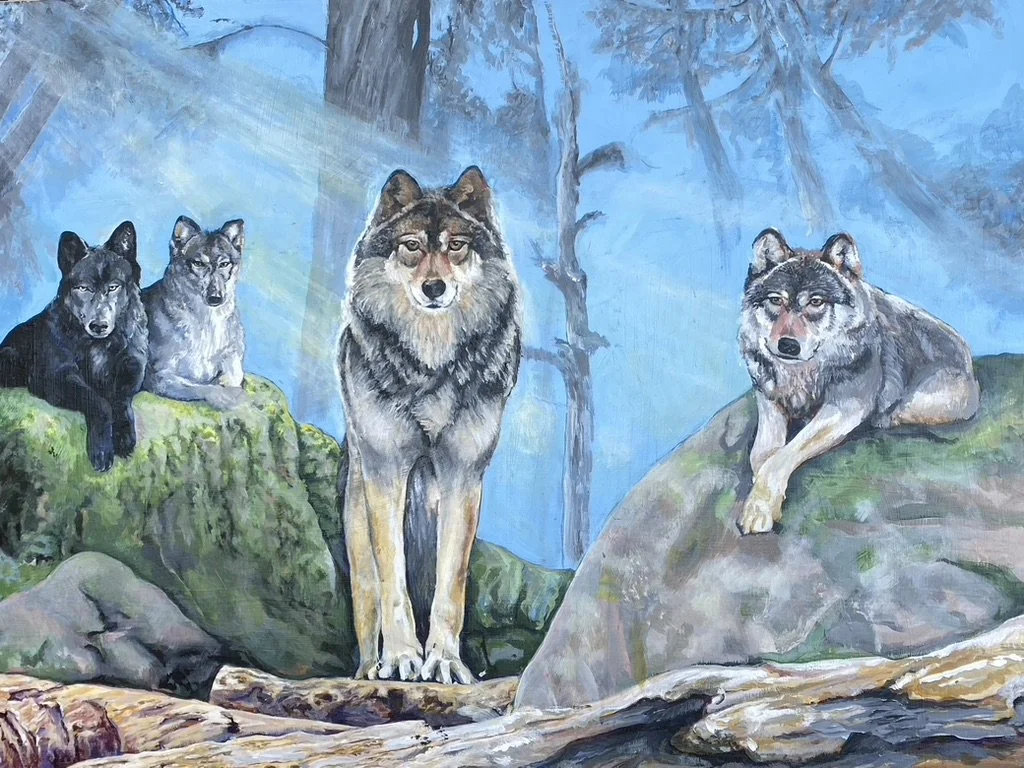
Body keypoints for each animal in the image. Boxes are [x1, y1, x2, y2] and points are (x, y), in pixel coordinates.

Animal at [0, 222, 147, 472]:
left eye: (113, 287)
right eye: (84, 288)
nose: (98, 325)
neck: (98, 345)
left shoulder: (133, 366)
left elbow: (119, 399)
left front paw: (124, 436)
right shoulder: (54, 375)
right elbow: (99, 402)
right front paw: (102, 450)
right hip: (10, 362)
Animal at [143, 216, 246, 410]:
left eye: (224, 264)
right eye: (198, 263)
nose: (215, 297)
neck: (207, 322)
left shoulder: (233, 356)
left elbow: (234, 376)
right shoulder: (159, 375)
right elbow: (199, 386)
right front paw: (223, 395)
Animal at [337, 166, 522, 684]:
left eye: (456, 245)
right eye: (412, 246)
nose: (434, 288)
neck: (432, 362)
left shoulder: (464, 473)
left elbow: (450, 587)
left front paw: (444, 661)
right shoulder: (386, 469)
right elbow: (393, 581)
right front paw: (402, 658)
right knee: (368, 602)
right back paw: (369, 670)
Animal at [737, 228, 979, 535]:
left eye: (816, 302)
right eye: (776, 300)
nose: (788, 345)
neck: (803, 373)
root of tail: (967, 356)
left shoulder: (845, 407)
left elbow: (779, 458)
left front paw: (759, 508)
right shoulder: (769, 400)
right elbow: (762, 455)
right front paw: (761, 498)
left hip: (928, 401)